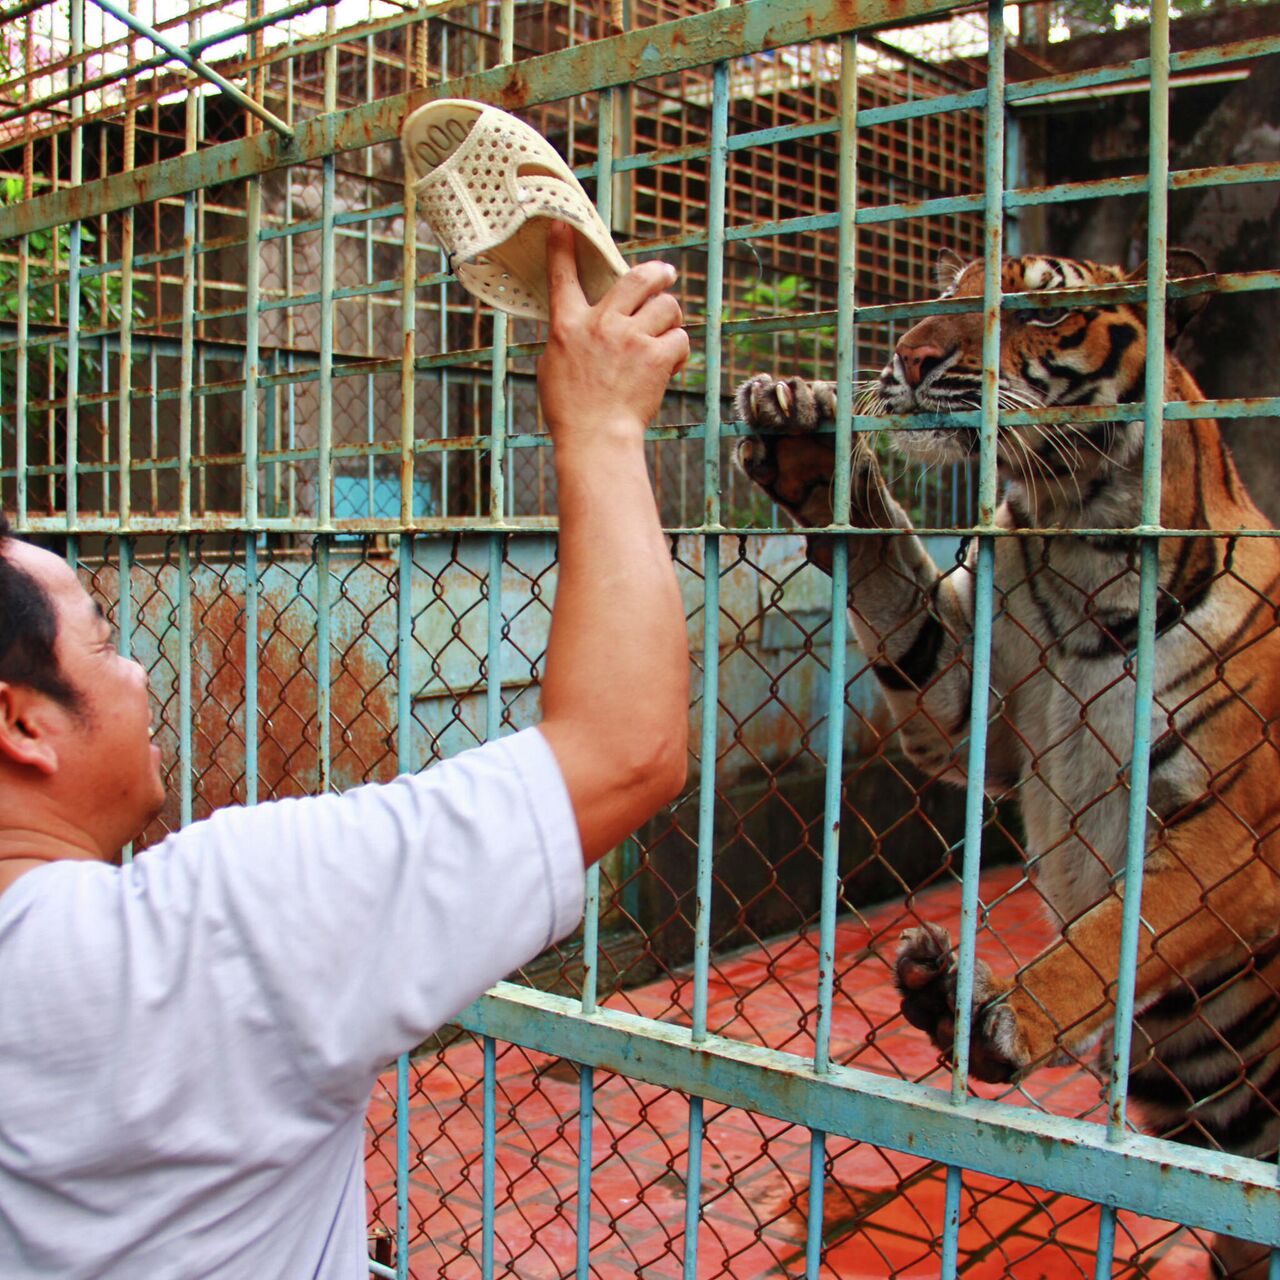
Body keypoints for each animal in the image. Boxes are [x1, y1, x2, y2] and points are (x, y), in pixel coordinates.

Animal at [737, 249, 1274, 1280]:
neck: (1082, 540)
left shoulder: (1239, 829)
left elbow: (1123, 929)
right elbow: (899, 596)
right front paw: (808, 445)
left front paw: (998, 1015)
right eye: (946, 293)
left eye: (1040, 308)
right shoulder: (964, 708)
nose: (908, 354)